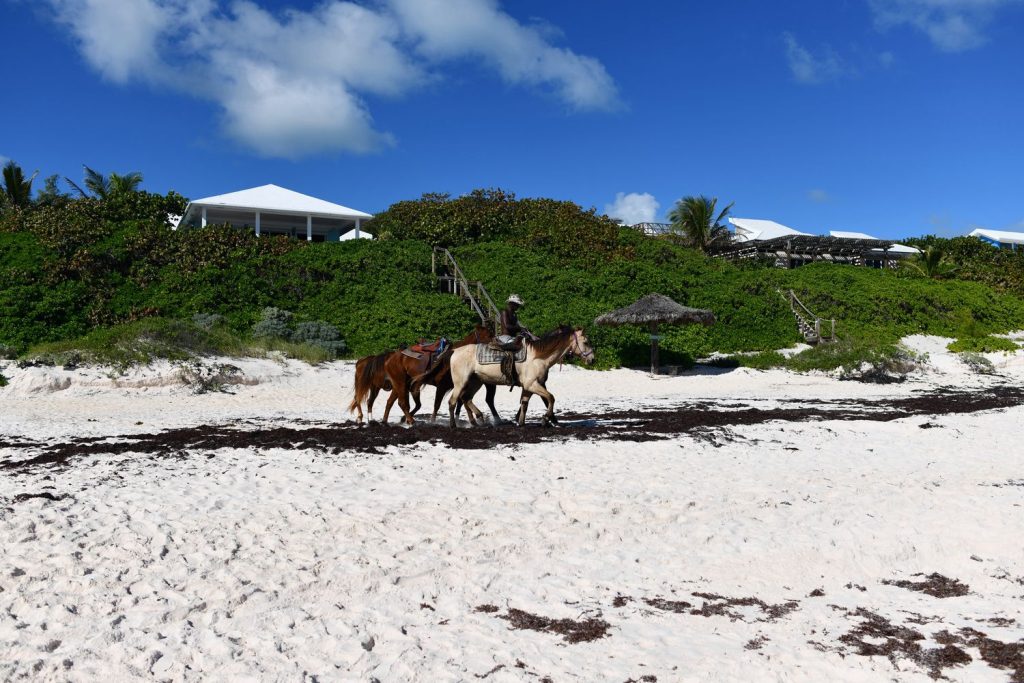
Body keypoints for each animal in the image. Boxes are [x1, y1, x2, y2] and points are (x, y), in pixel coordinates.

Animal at [447, 325, 595, 429]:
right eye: (586, 342)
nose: (592, 359)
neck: (538, 357)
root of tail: (454, 351)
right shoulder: (532, 384)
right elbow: (550, 397)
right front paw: (545, 419)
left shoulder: (528, 387)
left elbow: (524, 403)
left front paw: (521, 423)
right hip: (461, 383)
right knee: (453, 401)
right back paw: (454, 425)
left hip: (475, 382)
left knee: (466, 399)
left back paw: (478, 420)